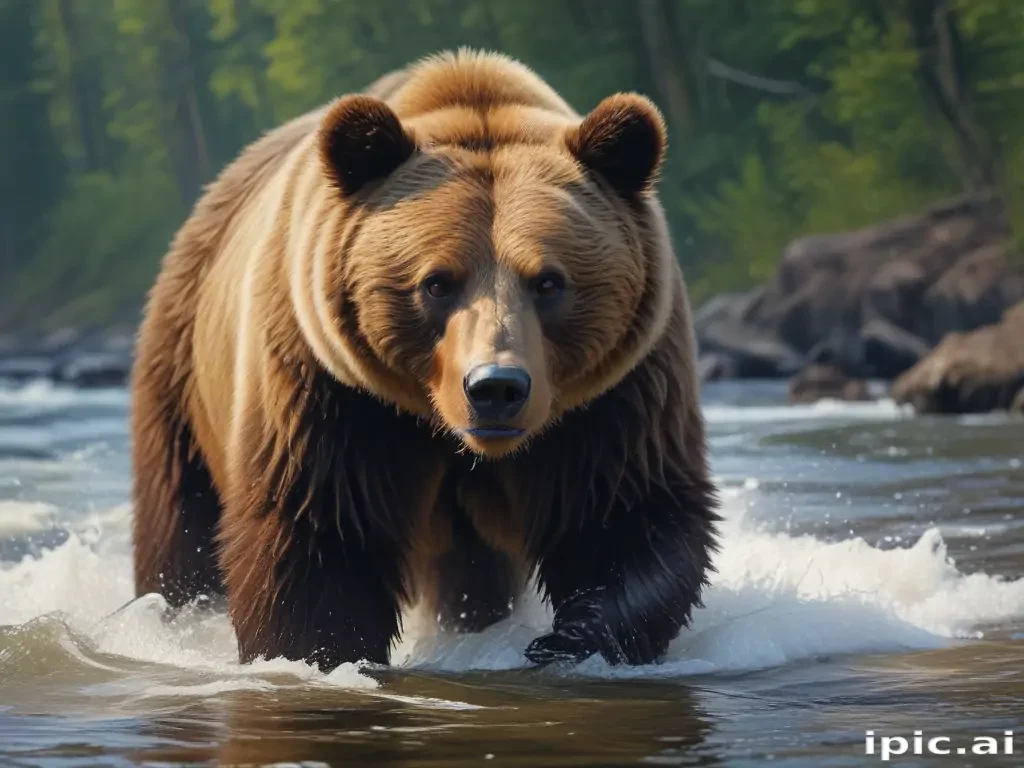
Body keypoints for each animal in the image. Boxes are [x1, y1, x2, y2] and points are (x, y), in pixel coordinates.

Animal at [130, 49, 719, 672]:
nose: (495, 387)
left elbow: (622, 511)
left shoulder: (617, 395)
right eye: (436, 282)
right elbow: (318, 532)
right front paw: (321, 652)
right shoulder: (331, 392)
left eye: (549, 282)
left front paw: (568, 637)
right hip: (182, 368)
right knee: (180, 519)